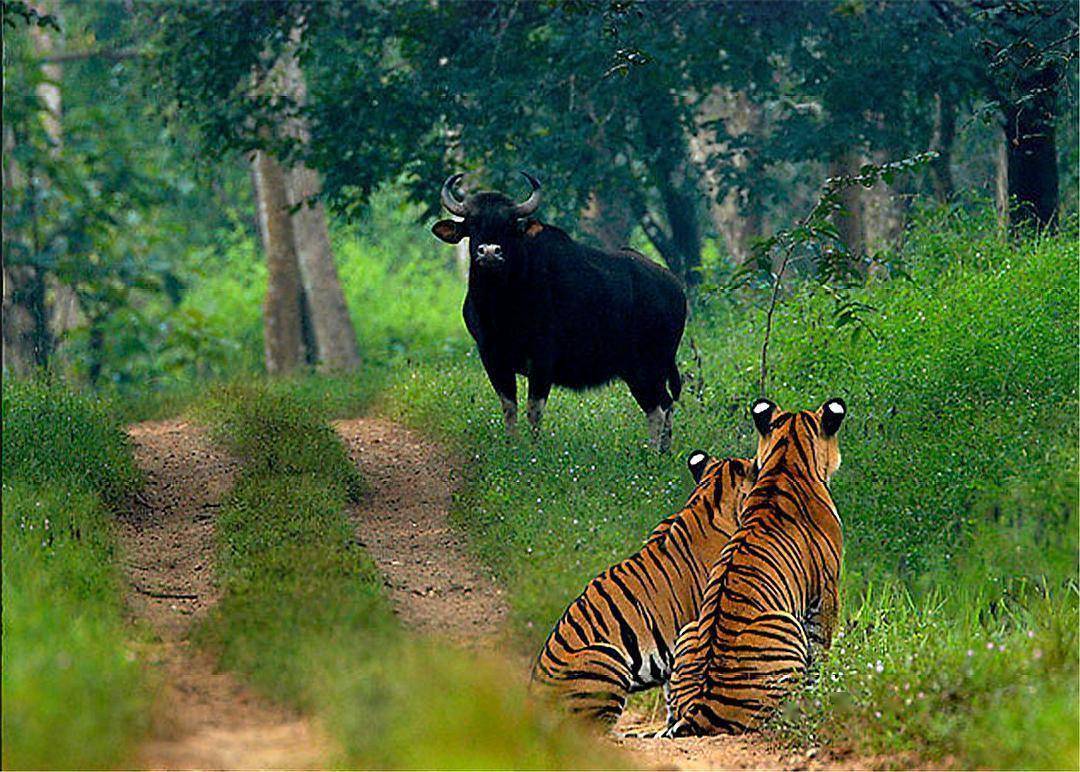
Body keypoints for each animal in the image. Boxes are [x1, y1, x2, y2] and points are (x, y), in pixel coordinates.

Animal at [429, 171, 682, 449]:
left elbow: (534, 408)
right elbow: (509, 406)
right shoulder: (491, 356)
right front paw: (511, 445)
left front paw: (534, 448)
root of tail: (674, 287)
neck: (501, 307)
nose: (490, 252)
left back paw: (653, 451)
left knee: (658, 408)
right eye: (472, 223)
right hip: (642, 369)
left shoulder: (542, 358)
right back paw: (662, 450)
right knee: (664, 404)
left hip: (648, 366)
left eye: (509, 225)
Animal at [660, 399, 846, 738]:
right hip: (785, 625)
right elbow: (821, 649)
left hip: (689, 628)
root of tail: (699, 708)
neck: (786, 460)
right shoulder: (826, 592)